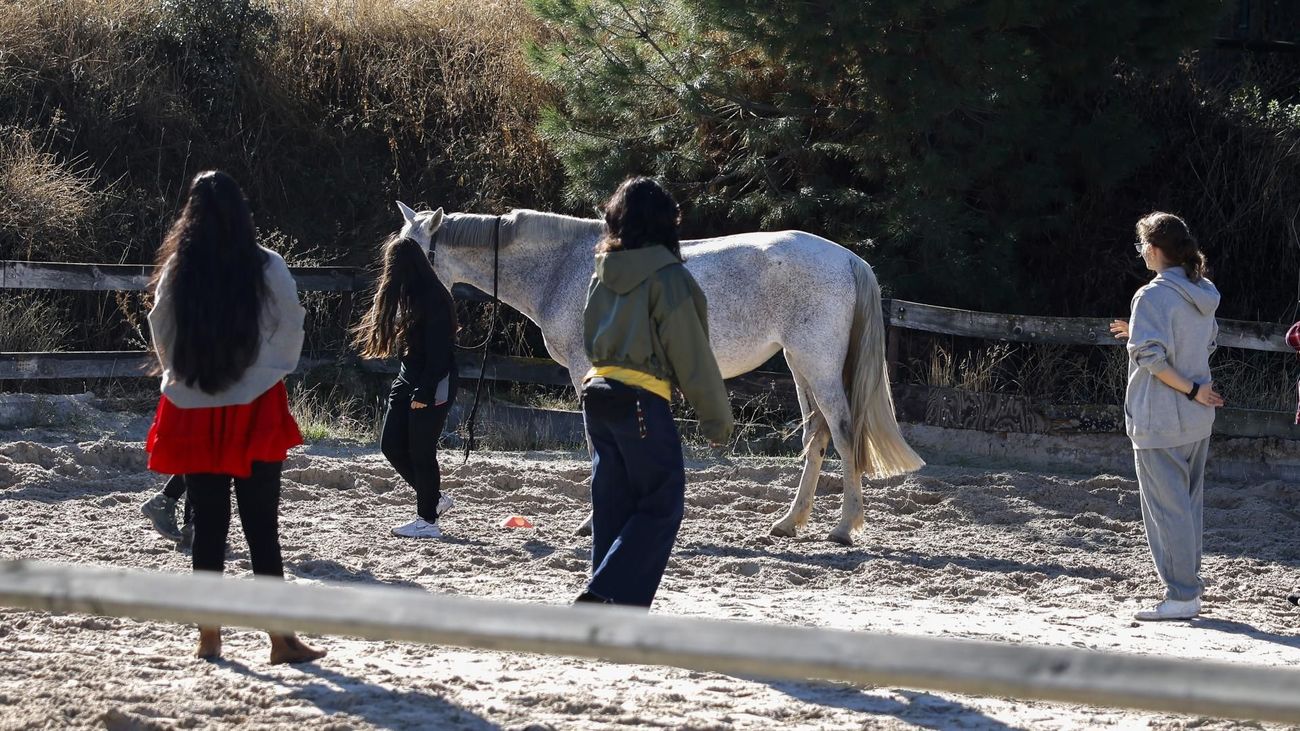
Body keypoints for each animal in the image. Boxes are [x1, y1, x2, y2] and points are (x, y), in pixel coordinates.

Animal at [394, 202, 925, 545]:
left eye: (412, 255)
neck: (564, 268)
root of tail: (848, 258)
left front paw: (592, 523)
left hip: (816, 361)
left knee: (843, 431)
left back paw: (843, 528)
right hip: (799, 364)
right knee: (816, 435)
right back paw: (789, 523)